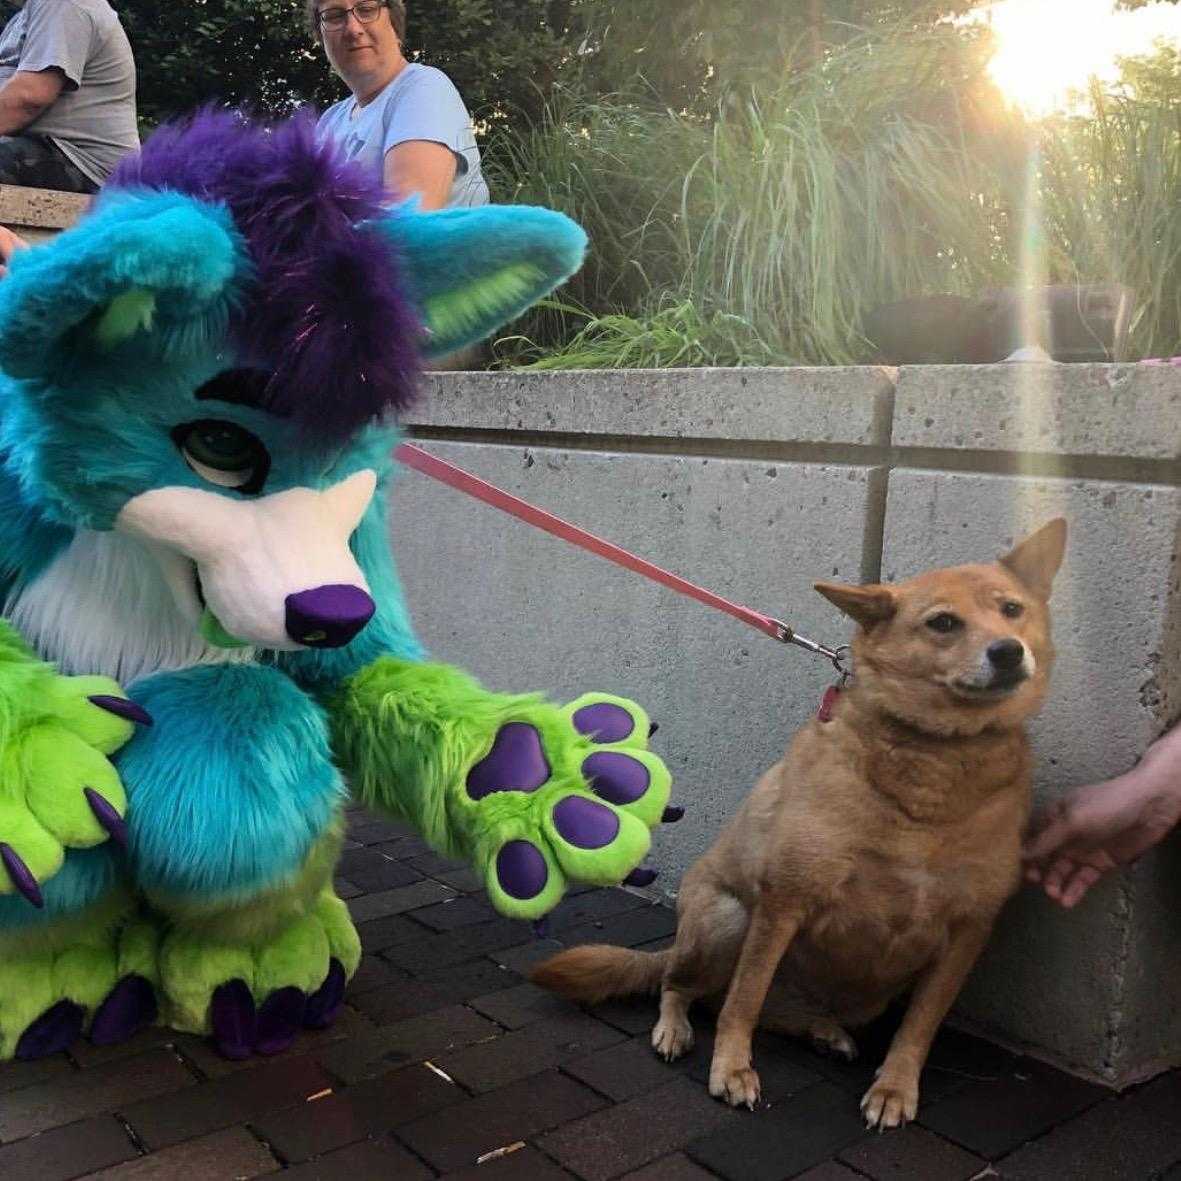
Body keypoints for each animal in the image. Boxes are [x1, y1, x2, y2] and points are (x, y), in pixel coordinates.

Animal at [531, 524, 1067, 1124]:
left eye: (1012, 609)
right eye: (944, 622)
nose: (1008, 650)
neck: (934, 763)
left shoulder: (969, 930)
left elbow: (920, 1026)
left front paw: (896, 1086)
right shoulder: (784, 899)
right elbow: (743, 1000)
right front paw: (731, 1070)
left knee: (765, 1007)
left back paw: (822, 1031)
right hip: (726, 919)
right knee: (687, 987)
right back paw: (676, 1027)